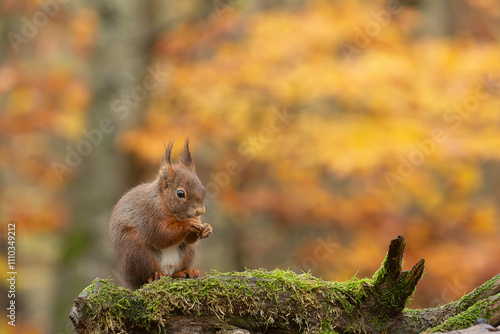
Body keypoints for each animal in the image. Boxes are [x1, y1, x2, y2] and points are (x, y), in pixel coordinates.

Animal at [109, 139, 211, 290]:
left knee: (175, 272)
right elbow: (161, 235)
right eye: (180, 193)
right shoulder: (149, 214)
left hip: (187, 253)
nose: (200, 211)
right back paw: (155, 276)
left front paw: (208, 228)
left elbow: (188, 239)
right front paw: (188, 225)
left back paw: (185, 272)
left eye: (203, 188)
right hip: (135, 250)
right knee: (146, 276)